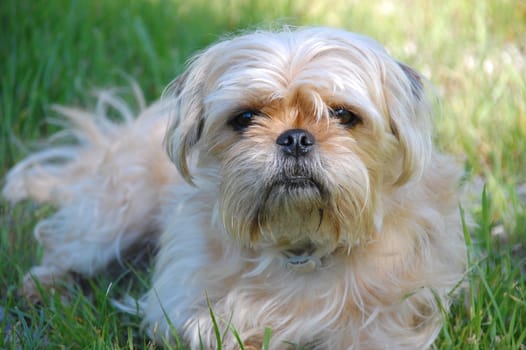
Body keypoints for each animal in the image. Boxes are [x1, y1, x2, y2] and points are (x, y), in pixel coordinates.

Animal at [4, 26, 468, 348]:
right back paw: (45, 287)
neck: (299, 244)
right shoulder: (184, 303)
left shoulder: (394, 315)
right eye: (245, 118)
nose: (295, 137)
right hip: (119, 210)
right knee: (70, 245)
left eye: (342, 114)